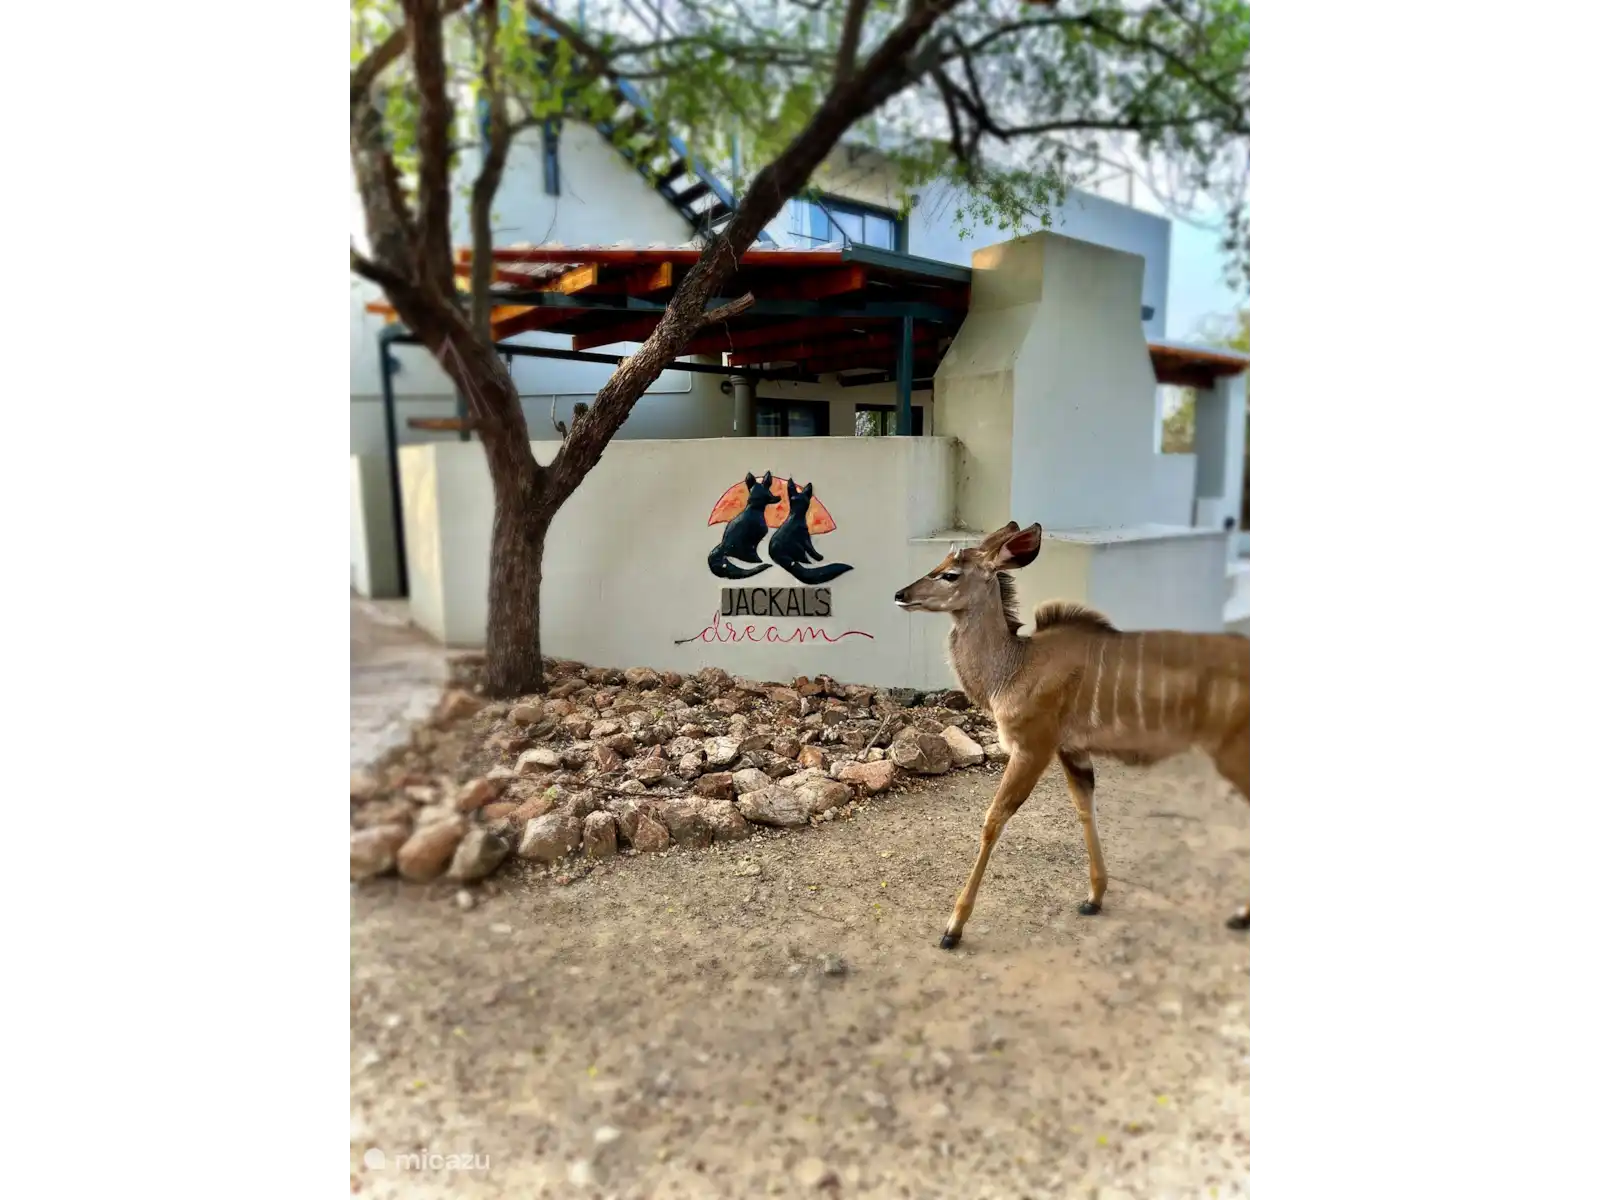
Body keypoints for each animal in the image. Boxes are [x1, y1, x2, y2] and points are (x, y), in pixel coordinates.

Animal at [893, 521, 1254, 950]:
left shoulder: (1033, 748)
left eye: (950, 573)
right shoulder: (1072, 750)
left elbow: (994, 819)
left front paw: (953, 928)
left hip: (1234, 752)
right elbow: (1085, 807)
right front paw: (1094, 897)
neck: (1015, 666)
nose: (900, 595)